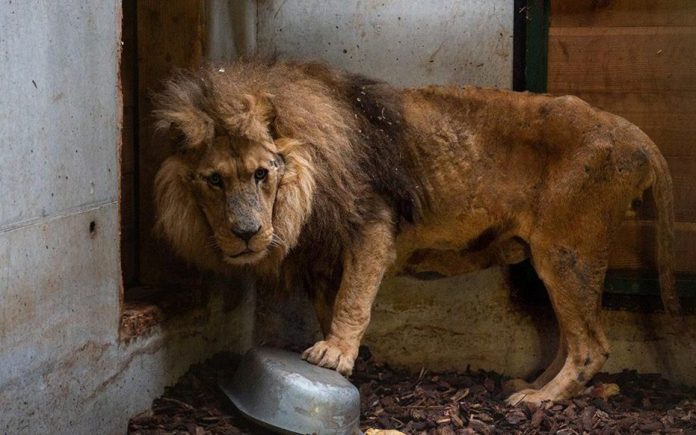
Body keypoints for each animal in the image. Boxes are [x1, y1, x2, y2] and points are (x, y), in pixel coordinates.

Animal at [151, 60, 680, 405]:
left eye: (262, 173)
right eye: (214, 180)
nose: (246, 232)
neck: (301, 195)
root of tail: (634, 133)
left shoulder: (371, 226)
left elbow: (353, 300)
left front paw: (334, 354)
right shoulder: (321, 256)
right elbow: (329, 306)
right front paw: (343, 359)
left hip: (567, 251)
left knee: (591, 345)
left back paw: (542, 401)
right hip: (554, 258)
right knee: (574, 338)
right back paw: (531, 386)